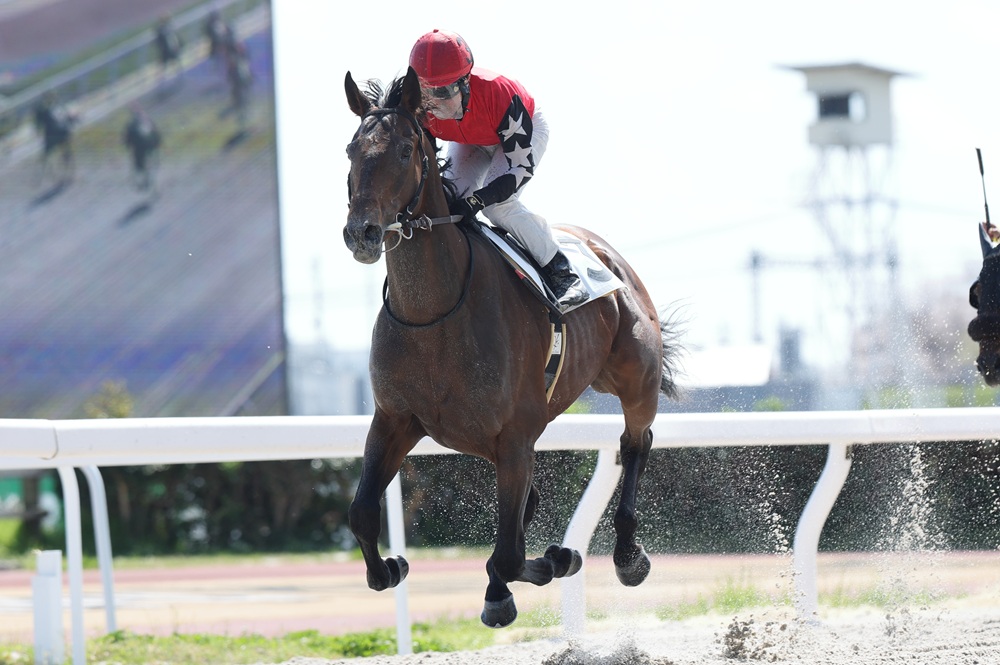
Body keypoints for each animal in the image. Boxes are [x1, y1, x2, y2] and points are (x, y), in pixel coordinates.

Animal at [342, 66, 682, 628]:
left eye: (405, 151)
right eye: (351, 149)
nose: (362, 233)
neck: (433, 315)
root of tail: (606, 252)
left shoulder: (515, 437)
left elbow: (510, 553)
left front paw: (553, 562)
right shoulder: (395, 419)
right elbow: (364, 514)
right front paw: (390, 567)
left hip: (635, 379)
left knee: (636, 442)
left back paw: (628, 556)